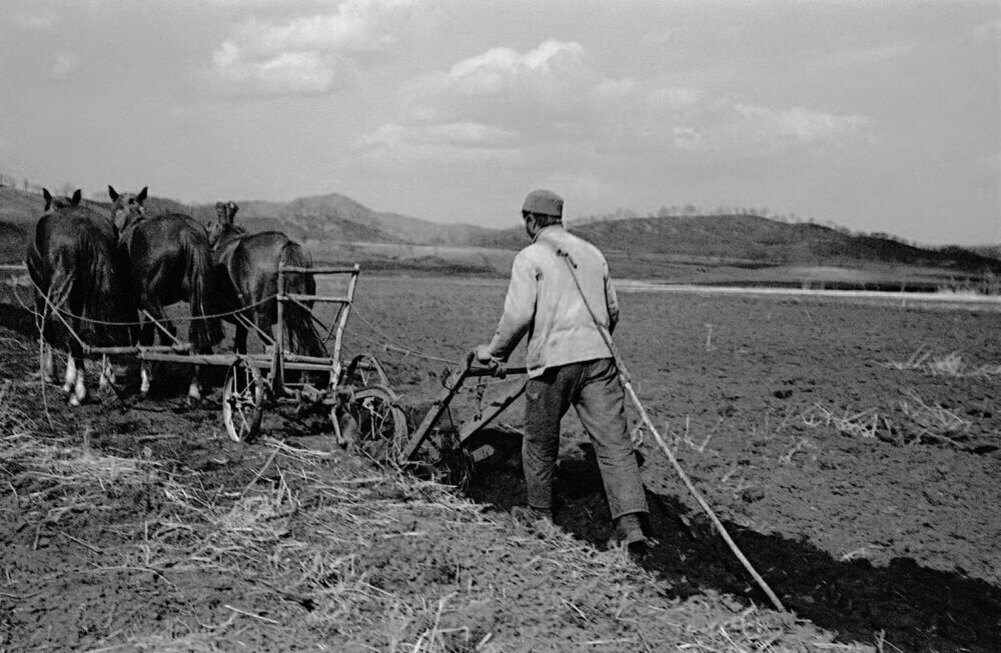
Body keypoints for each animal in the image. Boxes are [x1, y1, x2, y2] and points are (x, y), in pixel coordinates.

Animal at [26, 186, 135, 404]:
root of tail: (86, 228)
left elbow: (48, 329)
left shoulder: (41, 291)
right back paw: (99, 382)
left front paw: (52, 374)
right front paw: (70, 377)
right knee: (98, 333)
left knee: (71, 335)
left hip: (60, 291)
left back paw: (79, 392)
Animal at [108, 185, 220, 402]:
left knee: (169, 333)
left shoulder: (138, 304)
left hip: (149, 299)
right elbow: (146, 337)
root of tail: (186, 232)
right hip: (193, 299)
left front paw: (143, 378)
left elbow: (142, 337)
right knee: (195, 335)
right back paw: (194, 388)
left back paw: (153, 381)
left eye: (115, 208)